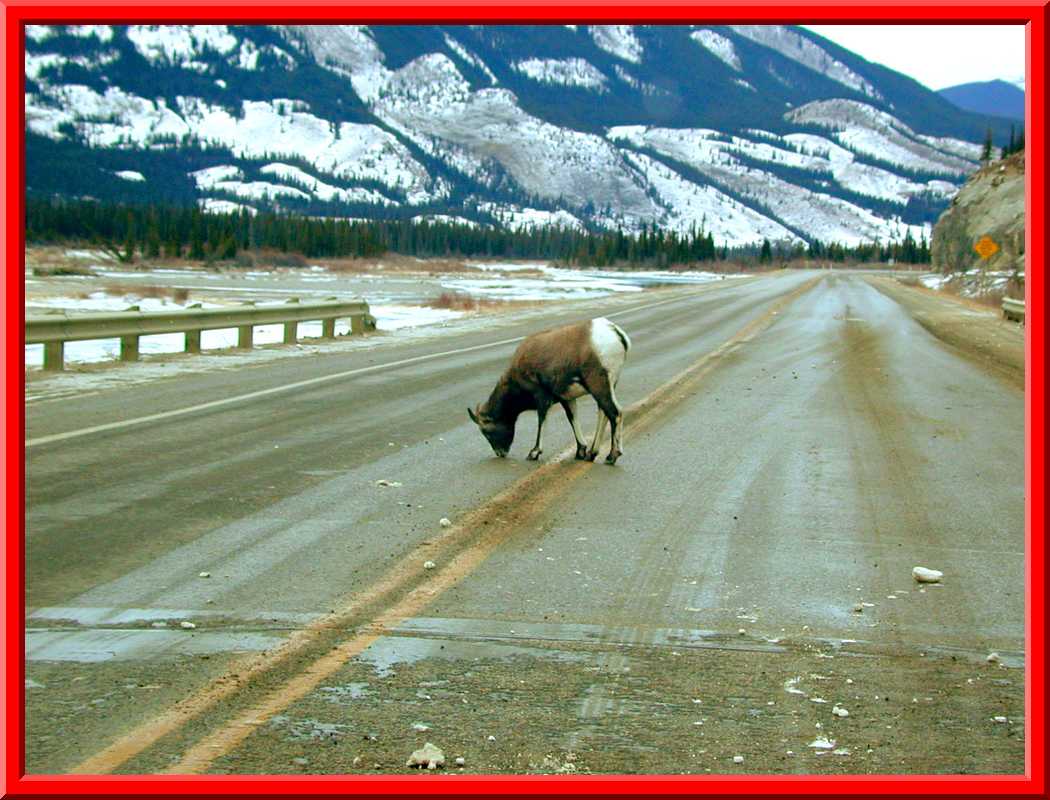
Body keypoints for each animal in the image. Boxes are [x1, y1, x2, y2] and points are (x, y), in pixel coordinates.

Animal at [470, 312, 630, 461]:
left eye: (486, 432)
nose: (500, 453)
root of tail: (615, 332)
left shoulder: (542, 397)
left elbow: (541, 420)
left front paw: (534, 453)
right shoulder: (567, 399)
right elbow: (572, 419)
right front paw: (580, 452)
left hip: (599, 387)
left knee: (615, 413)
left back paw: (612, 456)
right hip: (606, 388)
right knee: (604, 413)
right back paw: (592, 454)